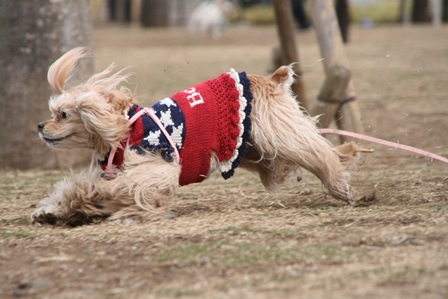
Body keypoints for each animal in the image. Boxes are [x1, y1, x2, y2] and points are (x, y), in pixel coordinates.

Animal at [30, 47, 360, 225]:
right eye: (53, 112)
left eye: (62, 114)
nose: (40, 126)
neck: (123, 131)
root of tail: (270, 80)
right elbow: (82, 187)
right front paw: (54, 211)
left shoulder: (158, 166)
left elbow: (123, 186)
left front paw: (112, 203)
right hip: (252, 148)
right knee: (284, 162)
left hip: (277, 133)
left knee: (317, 151)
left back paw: (340, 182)